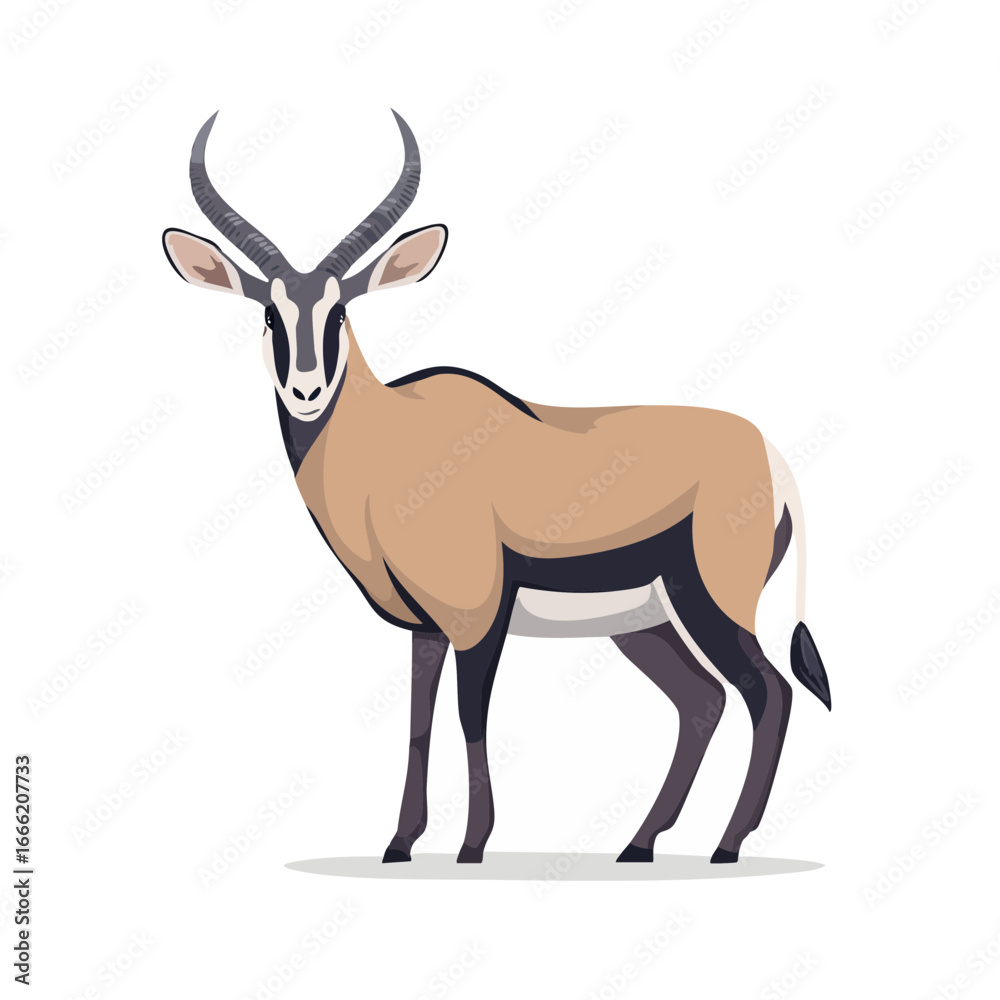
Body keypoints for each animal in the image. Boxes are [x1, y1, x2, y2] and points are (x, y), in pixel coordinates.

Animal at [162, 111, 831, 866]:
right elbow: (420, 719)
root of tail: (771, 459)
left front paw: (471, 846)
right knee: (703, 701)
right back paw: (638, 845)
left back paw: (725, 846)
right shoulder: (425, 627)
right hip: (644, 623)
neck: (390, 439)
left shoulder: (477, 618)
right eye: (271, 315)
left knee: (768, 692)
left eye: (339, 314)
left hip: (712, 606)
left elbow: (469, 716)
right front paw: (400, 843)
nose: (306, 392)